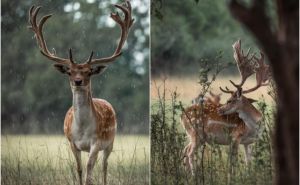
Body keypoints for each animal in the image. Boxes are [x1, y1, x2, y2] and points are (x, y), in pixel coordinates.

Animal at [28, 1, 134, 184]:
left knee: (104, 166)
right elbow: (79, 169)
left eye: (89, 72)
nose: (78, 81)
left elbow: (89, 171)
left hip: (111, 141)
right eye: (70, 72)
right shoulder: (72, 143)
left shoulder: (96, 143)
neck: (83, 129)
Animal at [182, 39, 270, 173]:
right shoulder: (235, 137)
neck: (252, 128)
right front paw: (233, 175)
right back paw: (194, 174)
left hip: (194, 136)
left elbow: (248, 163)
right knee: (190, 153)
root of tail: (181, 115)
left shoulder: (248, 142)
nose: (219, 109)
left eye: (230, 100)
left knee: (185, 150)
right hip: (195, 133)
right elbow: (234, 163)